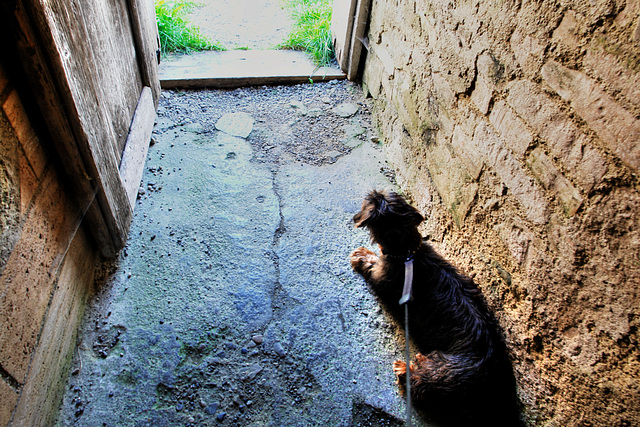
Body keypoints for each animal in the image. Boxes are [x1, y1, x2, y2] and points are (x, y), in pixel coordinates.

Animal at [350, 191, 520, 427]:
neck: (407, 253)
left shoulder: (383, 276)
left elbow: (373, 264)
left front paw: (362, 255)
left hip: (437, 370)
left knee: (419, 384)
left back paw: (405, 369)